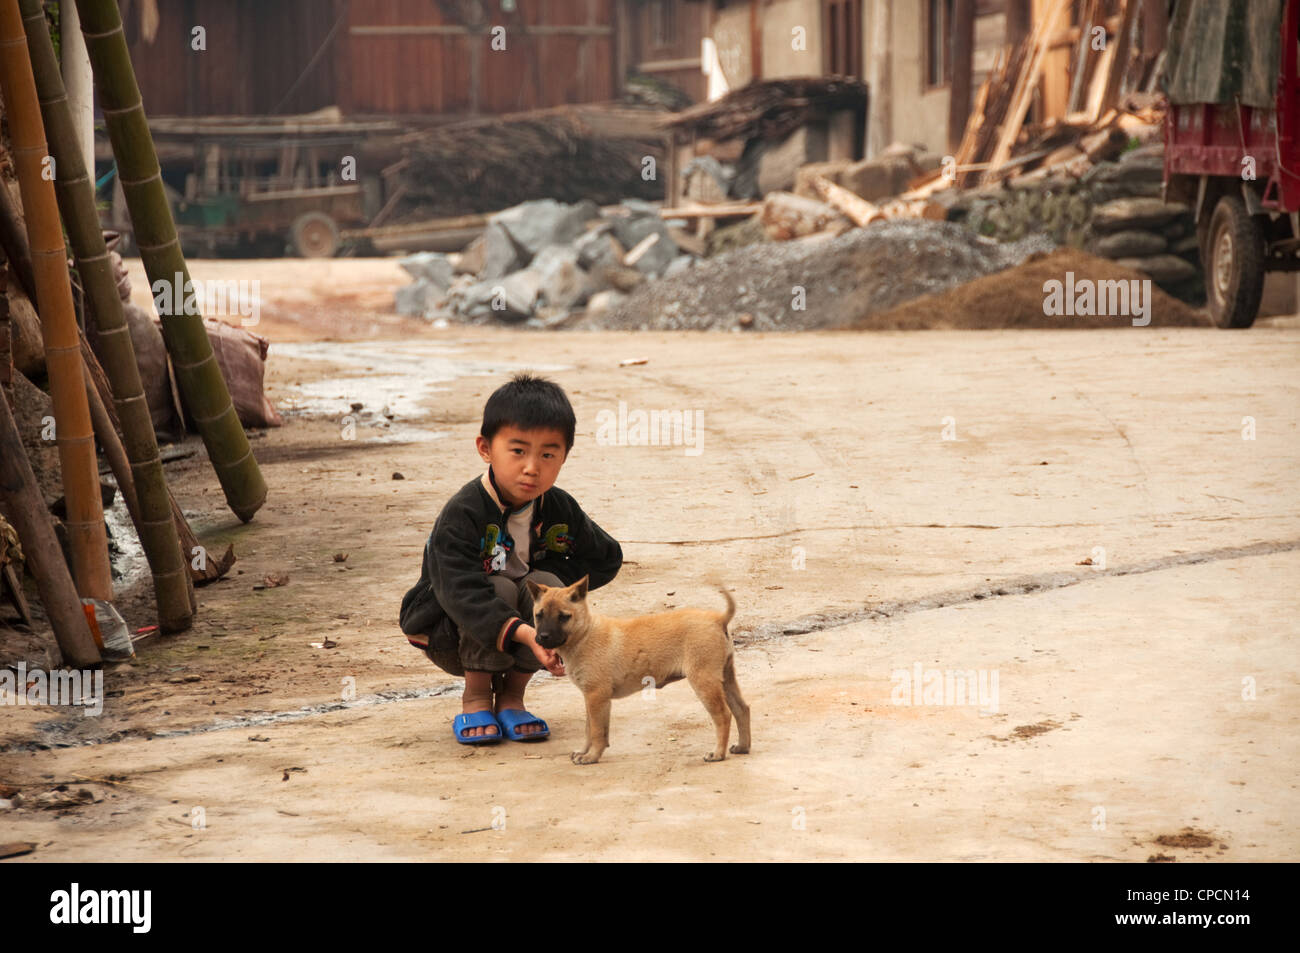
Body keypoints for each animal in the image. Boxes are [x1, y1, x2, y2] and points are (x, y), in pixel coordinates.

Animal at [525, 572, 754, 764]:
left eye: (564, 616)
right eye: (539, 615)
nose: (542, 638)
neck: (585, 634)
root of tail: (719, 619)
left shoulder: (597, 696)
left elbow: (597, 731)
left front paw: (591, 756)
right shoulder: (590, 698)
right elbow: (589, 729)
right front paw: (584, 752)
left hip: (704, 681)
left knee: (723, 715)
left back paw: (717, 754)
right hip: (725, 678)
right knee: (742, 709)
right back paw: (742, 747)